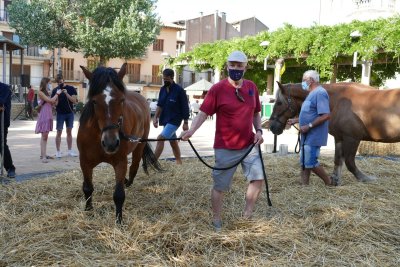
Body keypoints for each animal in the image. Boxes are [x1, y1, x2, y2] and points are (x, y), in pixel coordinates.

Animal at [77, 63, 160, 223]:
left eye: (122, 100)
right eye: (94, 101)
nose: (111, 143)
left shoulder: (120, 162)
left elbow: (119, 194)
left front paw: (119, 221)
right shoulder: (84, 162)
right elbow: (88, 188)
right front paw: (88, 210)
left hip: (139, 146)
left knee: (134, 168)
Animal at [268, 82, 400, 185]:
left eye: (279, 102)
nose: (272, 126)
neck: (338, 101)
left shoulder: (352, 138)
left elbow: (350, 162)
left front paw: (365, 178)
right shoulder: (339, 137)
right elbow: (337, 160)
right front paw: (335, 180)